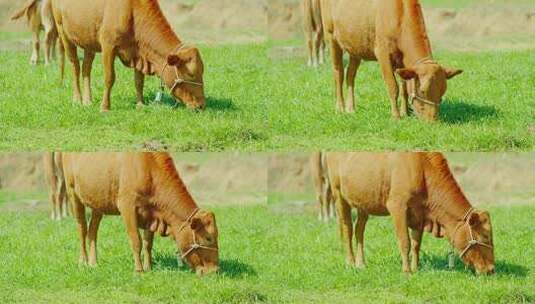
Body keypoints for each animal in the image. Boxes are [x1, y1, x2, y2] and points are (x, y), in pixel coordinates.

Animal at [50, 0, 205, 111]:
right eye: (190, 74)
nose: (202, 104)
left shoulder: (139, 52)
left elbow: (139, 81)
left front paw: (140, 104)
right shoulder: (108, 45)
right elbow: (109, 77)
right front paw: (105, 107)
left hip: (89, 39)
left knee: (86, 68)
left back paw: (88, 101)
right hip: (63, 31)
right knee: (75, 66)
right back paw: (77, 100)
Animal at [62, 153, 220, 274]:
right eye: (208, 238)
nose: (214, 271)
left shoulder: (151, 214)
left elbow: (147, 243)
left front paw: (148, 268)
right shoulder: (127, 206)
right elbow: (136, 240)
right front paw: (139, 270)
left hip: (98, 202)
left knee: (92, 231)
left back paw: (94, 263)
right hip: (72, 192)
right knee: (82, 229)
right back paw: (83, 261)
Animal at [322, 0, 464, 121]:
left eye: (442, 92)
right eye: (422, 91)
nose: (432, 121)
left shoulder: (402, 61)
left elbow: (404, 87)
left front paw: (405, 113)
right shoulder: (382, 53)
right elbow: (393, 86)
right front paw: (396, 116)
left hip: (356, 46)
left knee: (350, 75)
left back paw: (351, 108)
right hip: (331, 37)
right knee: (338, 73)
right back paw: (340, 108)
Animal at [328, 153, 496, 274]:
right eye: (485, 236)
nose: (491, 269)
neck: (422, 170)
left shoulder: (419, 214)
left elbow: (416, 244)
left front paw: (416, 268)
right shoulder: (397, 206)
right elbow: (405, 242)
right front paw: (407, 271)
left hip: (364, 203)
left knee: (359, 231)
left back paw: (361, 263)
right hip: (338, 195)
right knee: (347, 229)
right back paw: (350, 263)